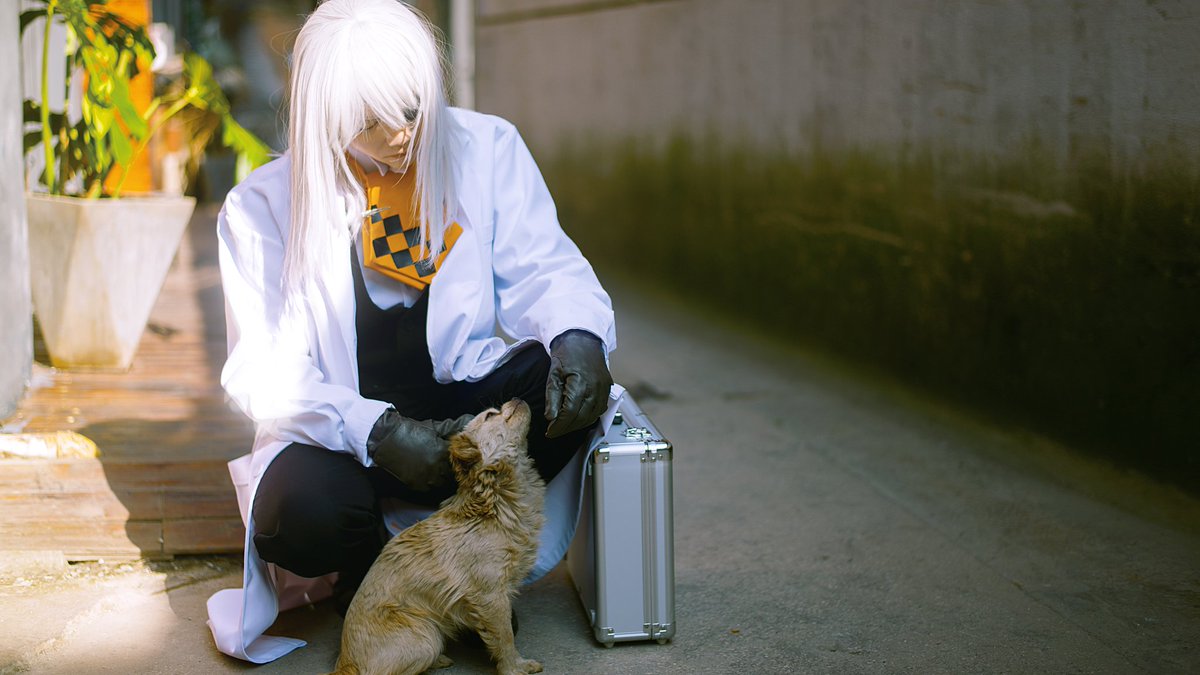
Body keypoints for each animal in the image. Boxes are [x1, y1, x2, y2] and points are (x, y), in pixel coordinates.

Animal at [330, 398, 546, 675]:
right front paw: (514, 667)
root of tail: (346, 662)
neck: (493, 504)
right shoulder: (490, 597)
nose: (516, 399)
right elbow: (504, 637)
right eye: (490, 415)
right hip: (425, 638)